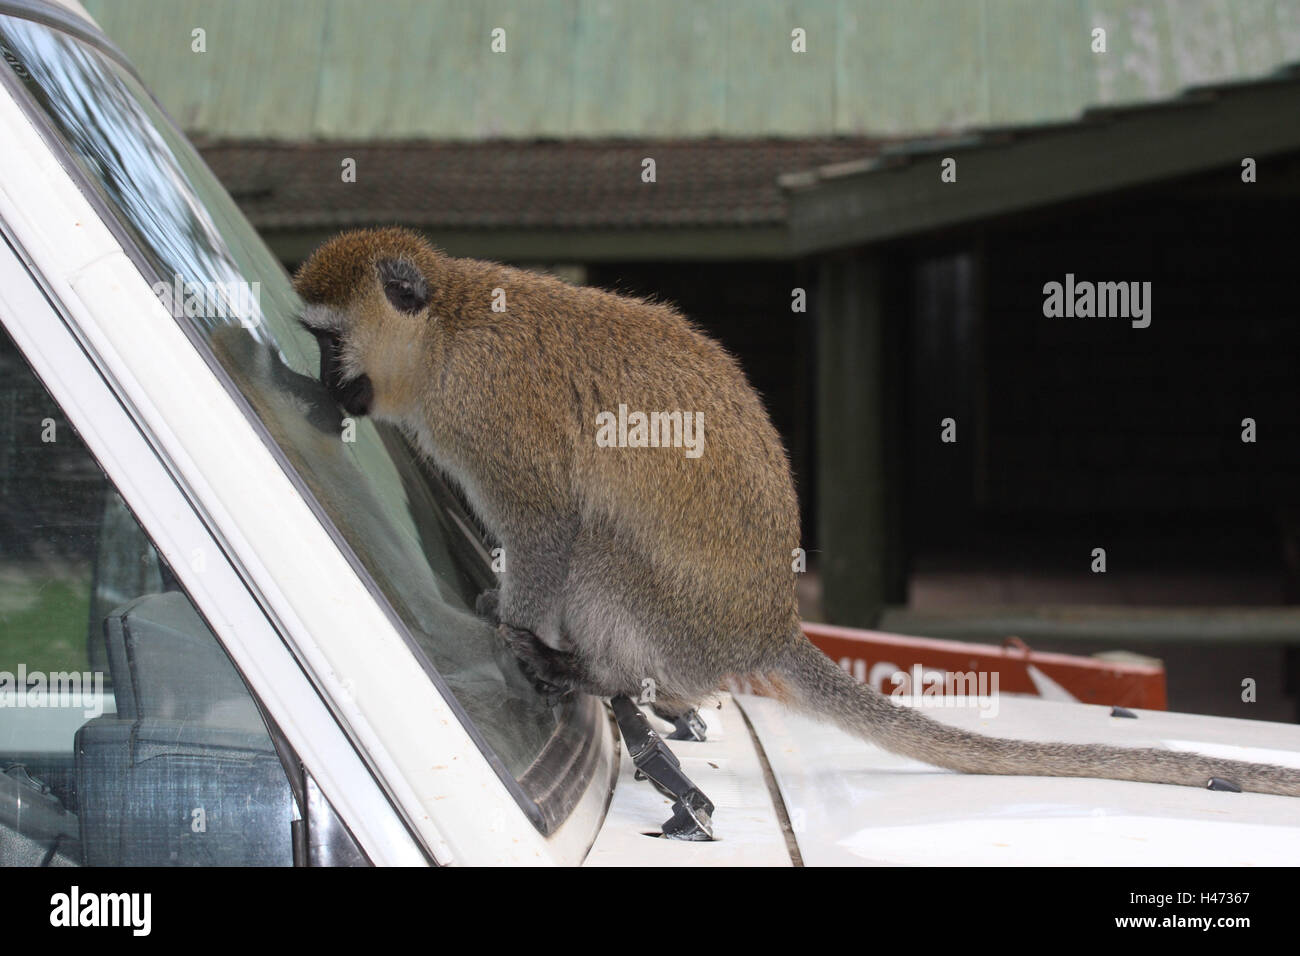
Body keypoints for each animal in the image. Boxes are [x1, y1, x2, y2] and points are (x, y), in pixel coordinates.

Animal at [293, 226, 1300, 800]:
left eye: (326, 338)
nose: (327, 387)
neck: (446, 330)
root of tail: (767, 625)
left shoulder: (493, 413)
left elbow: (547, 527)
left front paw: (510, 626)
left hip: (676, 619)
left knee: (602, 548)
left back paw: (601, 675)